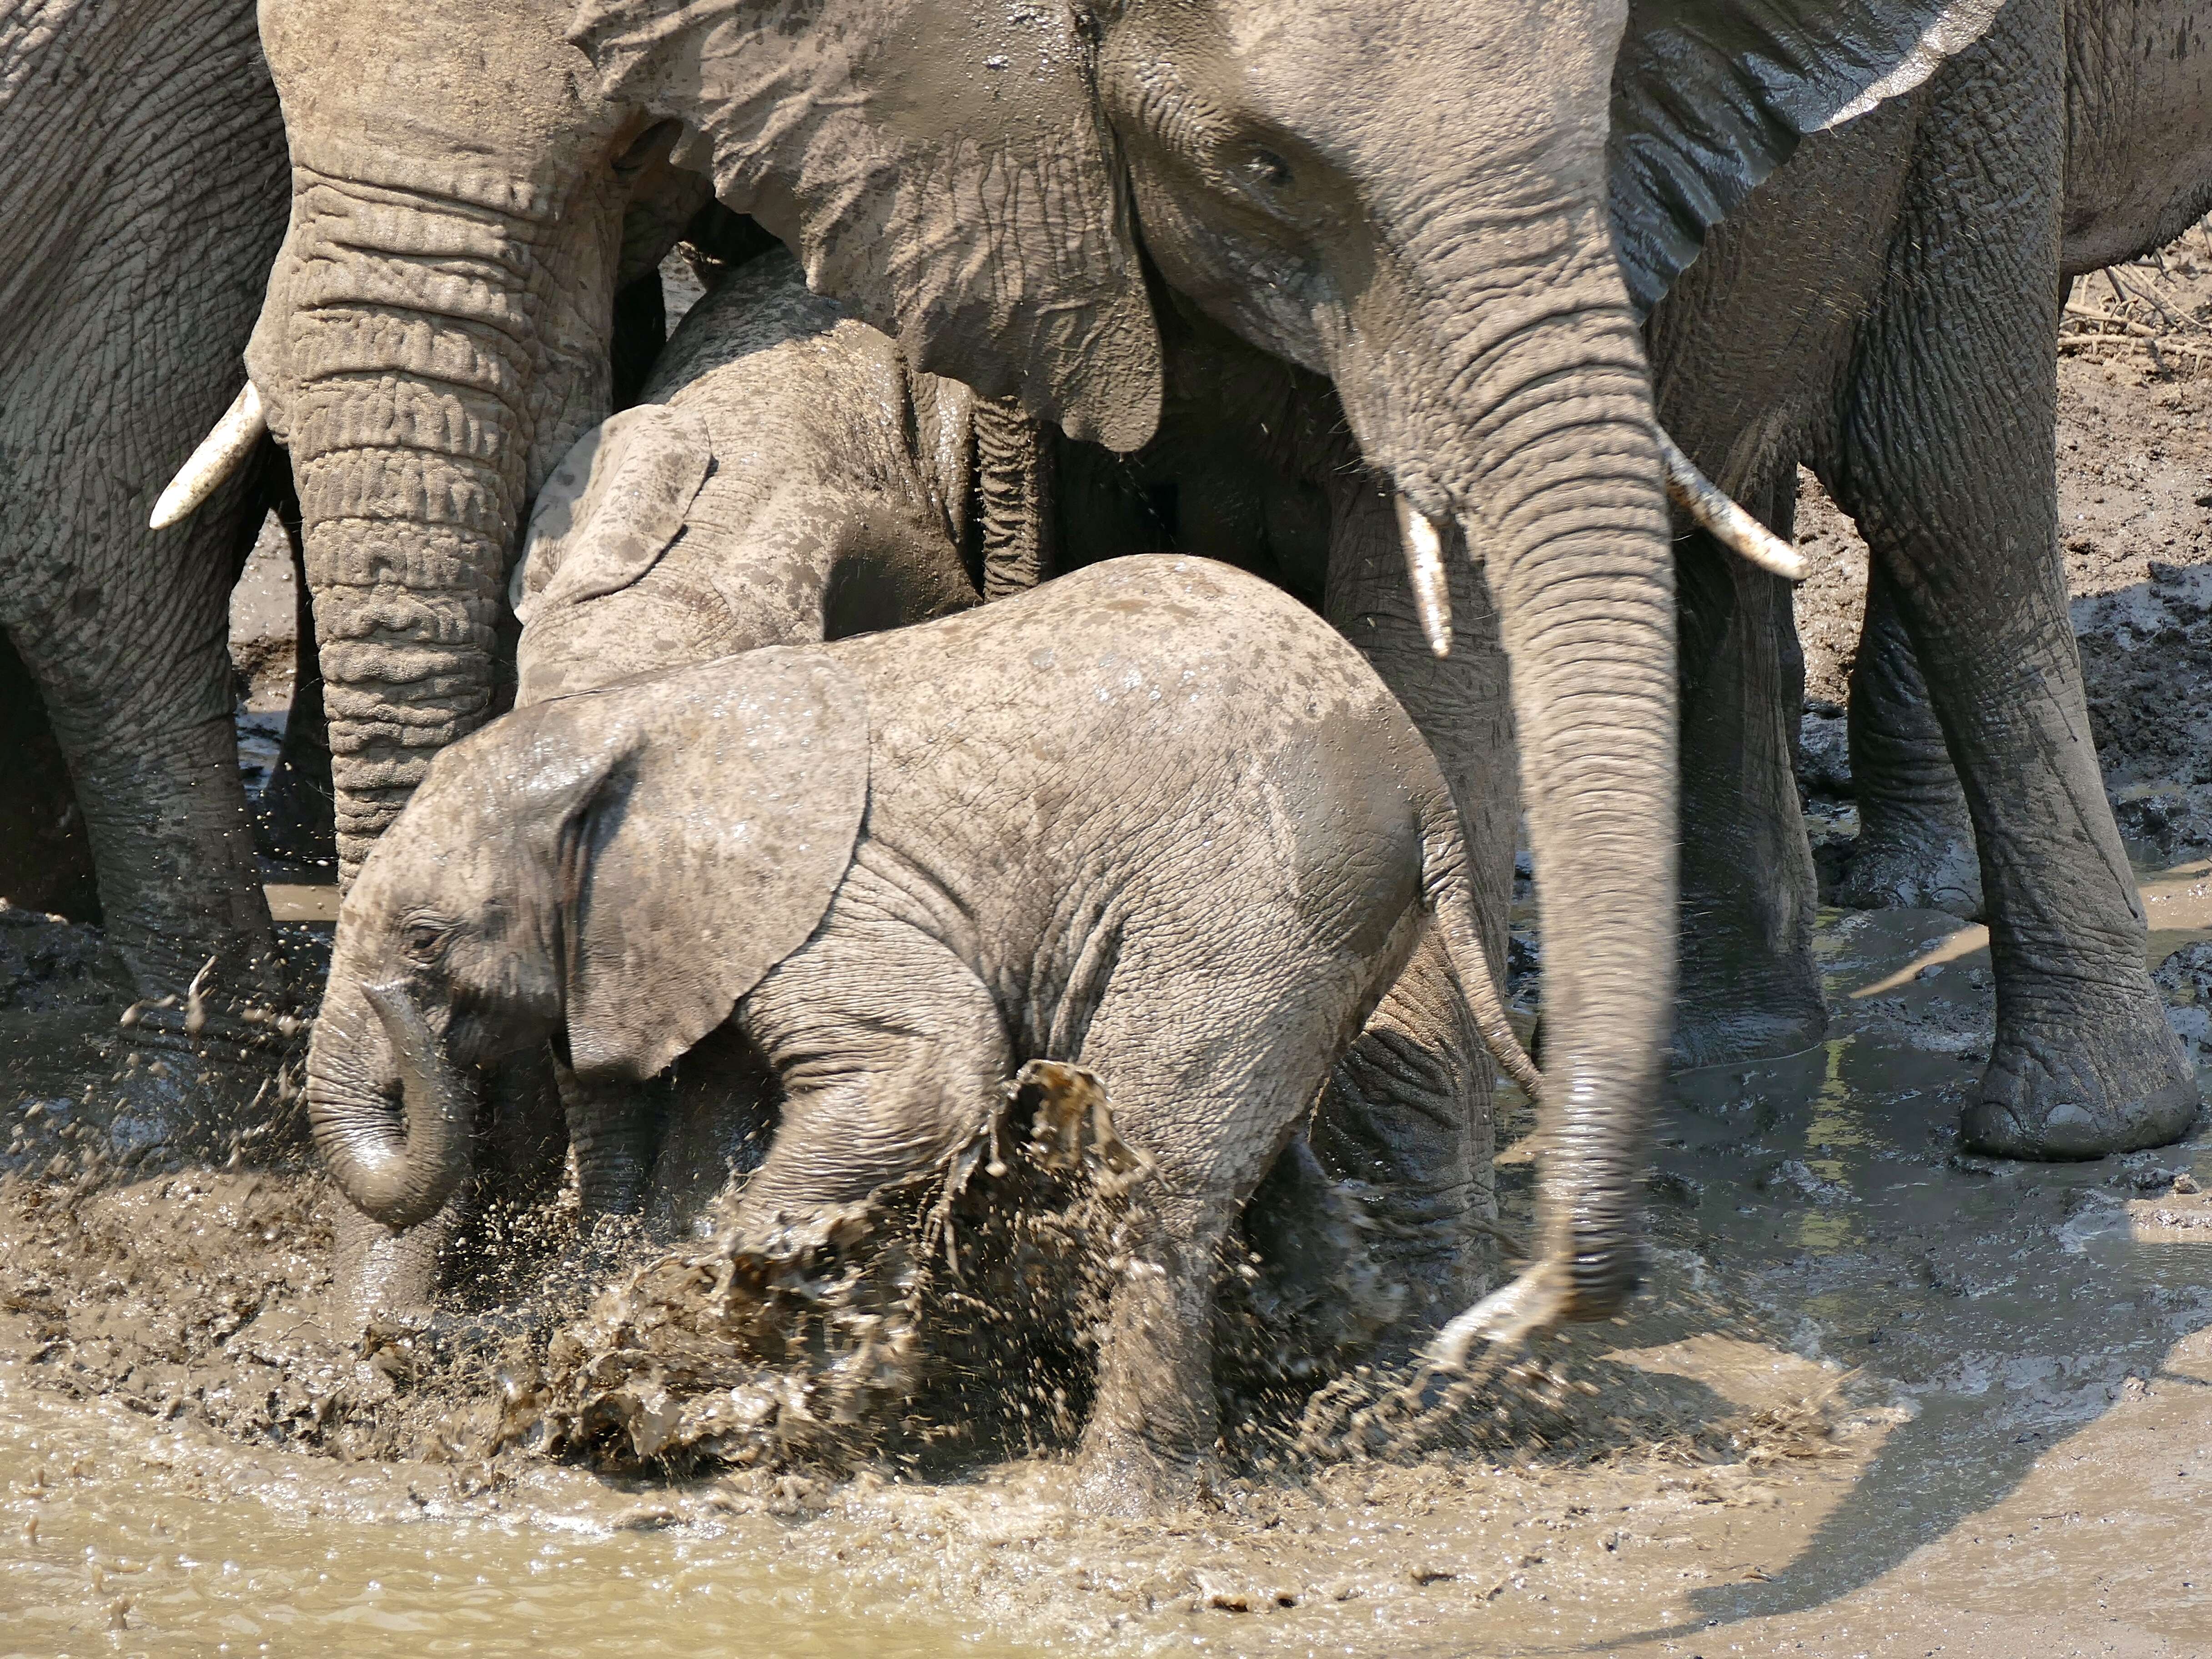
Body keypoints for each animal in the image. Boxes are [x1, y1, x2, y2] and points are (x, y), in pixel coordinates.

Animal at [303, 562, 1530, 1522]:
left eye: (424, 938)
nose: (394, 1348)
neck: (637, 722)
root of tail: (1418, 781)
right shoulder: (718, 941)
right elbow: (721, 1124)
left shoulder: (835, 905)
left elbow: (928, 1072)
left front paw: (699, 1325)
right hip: (1316, 930)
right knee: (1249, 1148)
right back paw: (1341, 1366)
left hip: (1248, 896)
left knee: (1159, 1173)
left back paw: (1120, 1502)